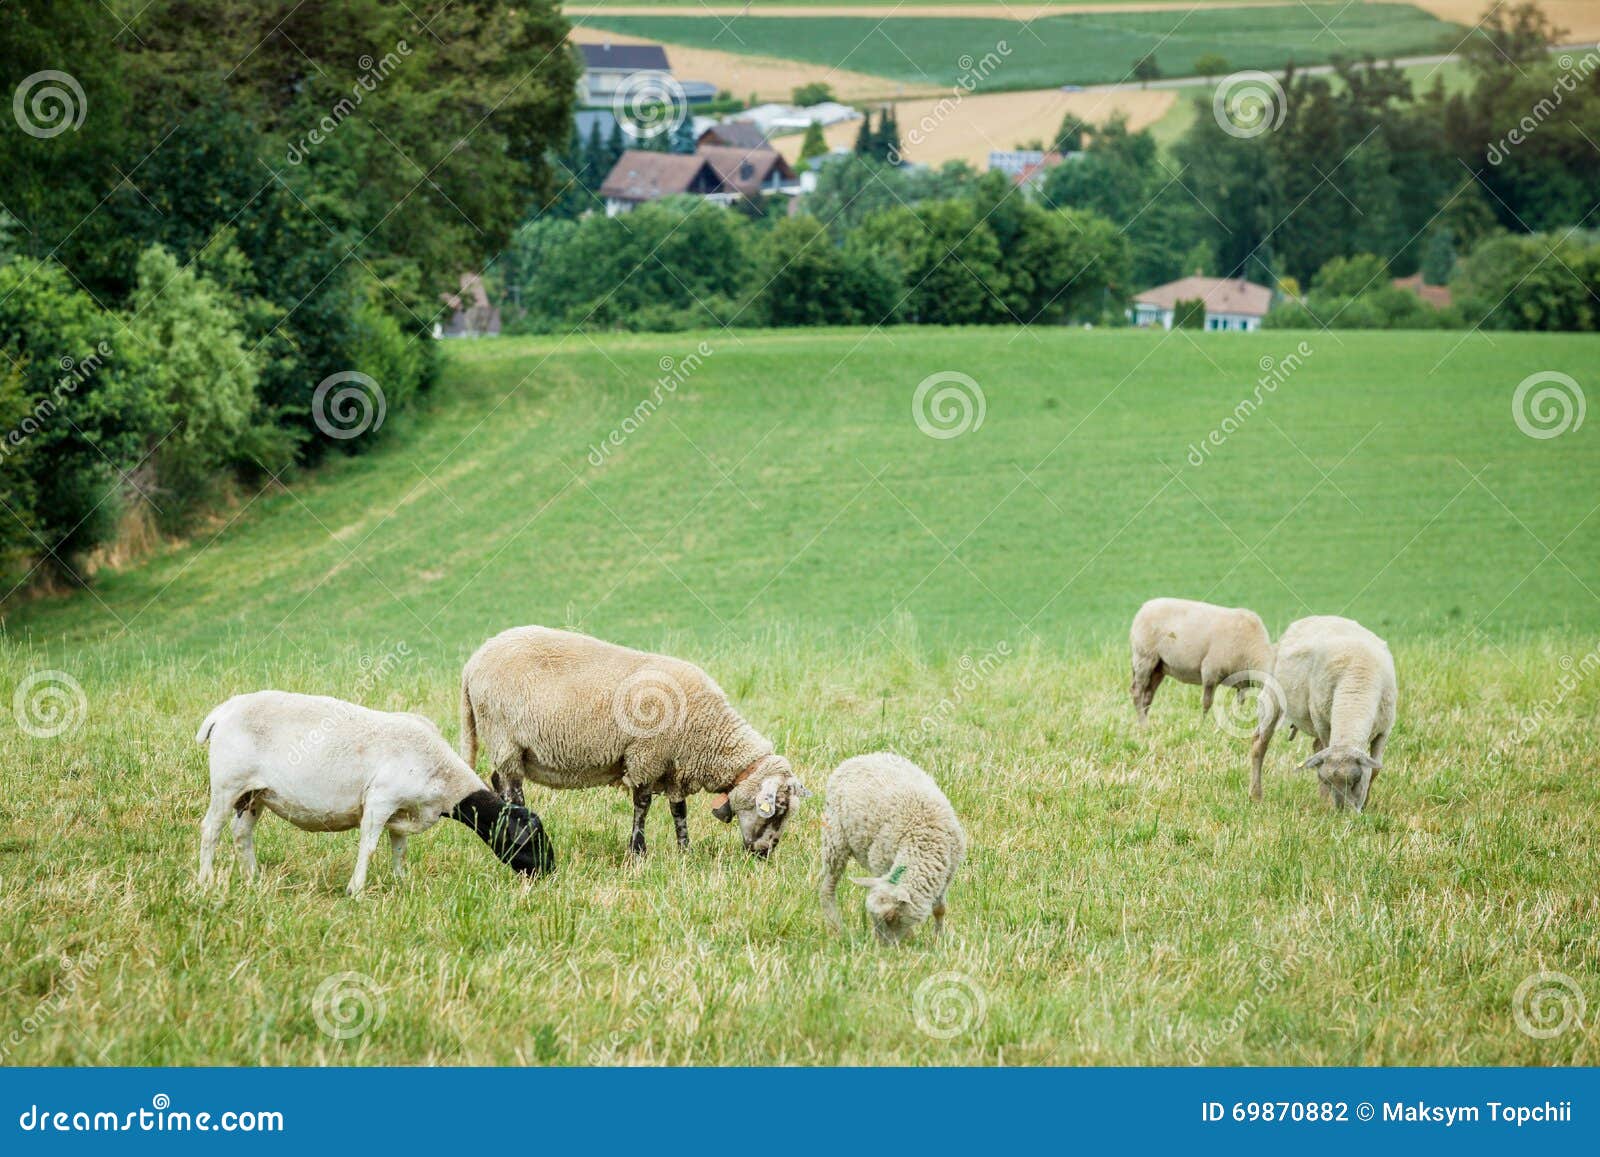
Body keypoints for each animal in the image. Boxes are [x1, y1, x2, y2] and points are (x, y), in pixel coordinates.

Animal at [196, 688, 556, 896]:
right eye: (530, 841)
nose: (550, 872)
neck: (444, 778)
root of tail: (222, 711)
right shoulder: (381, 800)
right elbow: (368, 848)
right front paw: (355, 890)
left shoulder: (403, 809)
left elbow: (400, 848)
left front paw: (401, 881)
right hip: (227, 783)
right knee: (210, 830)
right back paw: (204, 881)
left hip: (254, 793)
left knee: (241, 834)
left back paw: (254, 880)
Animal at [464, 624, 812, 857]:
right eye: (778, 809)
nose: (764, 855)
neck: (707, 731)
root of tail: (473, 663)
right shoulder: (647, 756)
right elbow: (642, 804)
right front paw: (638, 851)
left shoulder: (674, 766)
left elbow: (678, 810)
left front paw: (685, 851)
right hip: (505, 739)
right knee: (513, 790)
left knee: (497, 780)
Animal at [819, 755, 966, 947]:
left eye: (890, 917)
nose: (882, 948)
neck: (923, 842)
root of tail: (859, 757)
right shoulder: (880, 864)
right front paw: (910, 938)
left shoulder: (946, 874)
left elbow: (940, 909)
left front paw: (938, 940)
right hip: (835, 837)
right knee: (827, 888)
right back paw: (838, 928)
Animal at [1132, 598, 1280, 723]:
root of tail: (1145, 606)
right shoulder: (1210, 671)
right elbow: (1207, 702)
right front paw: (1202, 724)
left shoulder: (1243, 682)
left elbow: (1239, 703)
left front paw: (1237, 721)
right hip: (1144, 657)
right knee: (1137, 691)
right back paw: (1142, 724)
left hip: (1159, 667)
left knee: (1148, 695)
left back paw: (1144, 722)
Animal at [1254, 614, 1395, 816]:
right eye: (1329, 782)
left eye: (1356, 781)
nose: (1344, 814)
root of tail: (1312, 618)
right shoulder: (1323, 724)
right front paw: (1328, 800)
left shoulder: (1384, 730)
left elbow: (1375, 770)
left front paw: (1366, 803)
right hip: (1272, 698)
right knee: (1259, 744)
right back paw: (1256, 796)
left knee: (1316, 747)